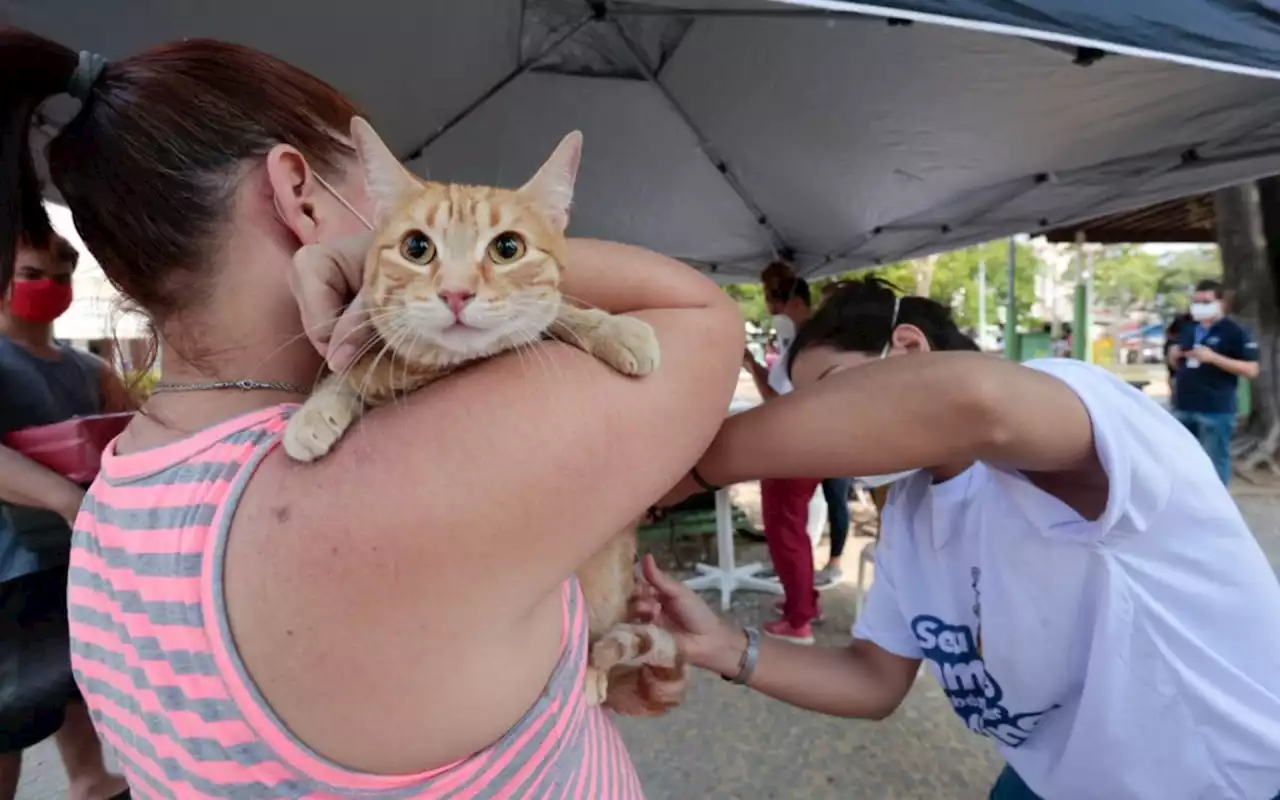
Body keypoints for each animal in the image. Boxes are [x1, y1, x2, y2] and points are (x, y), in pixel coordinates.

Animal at [286, 118, 691, 716]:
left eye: (507, 248)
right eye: (416, 247)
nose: (456, 293)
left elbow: (562, 311)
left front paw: (615, 329)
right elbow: (348, 371)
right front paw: (316, 412)